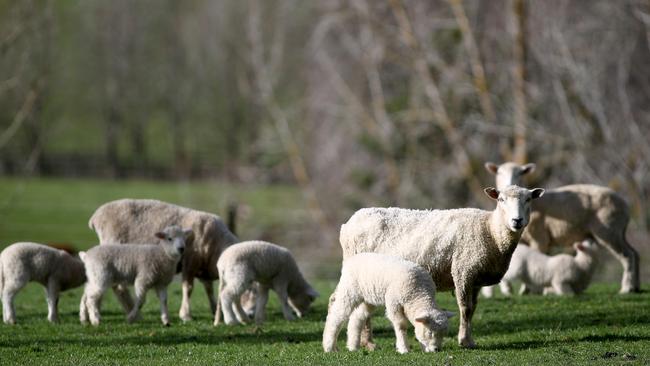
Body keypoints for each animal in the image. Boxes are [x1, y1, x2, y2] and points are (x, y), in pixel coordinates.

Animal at [87, 199, 237, 322]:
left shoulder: (203, 268)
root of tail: (95, 217)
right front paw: (186, 315)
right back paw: (130, 314)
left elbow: (209, 289)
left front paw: (216, 310)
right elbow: (188, 288)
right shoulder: (190, 263)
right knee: (117, 287)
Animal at [322, 253, 454, 354]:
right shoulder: (394, 302)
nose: (437, 350)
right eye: (430, 332)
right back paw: (329, 347)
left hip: (368, 298)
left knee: (357, 317)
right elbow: (401, 325)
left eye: (444, 333)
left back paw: (353, 346)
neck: (418, 293)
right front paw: (404, 349)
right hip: (349, 290)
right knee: (337, 315)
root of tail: (352, 259)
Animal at [342, 186, 544, 348]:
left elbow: (473, 309)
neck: (490, 231)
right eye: (501, 199)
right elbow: (465, 308)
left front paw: (469, 340)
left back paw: (366, 342)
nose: (517, 220)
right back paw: (369, 343)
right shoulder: (463, 271)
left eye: (529, 199)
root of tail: (350, 221)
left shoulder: (476, 278)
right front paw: (464, 341)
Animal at [484, 162, 640, 294]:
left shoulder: (540, 238)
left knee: (627, 255)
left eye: (522, 173)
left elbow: (537, 259)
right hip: (618, 231)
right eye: (499, 173)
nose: (510, 183)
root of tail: (625, 204)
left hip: (608, 231)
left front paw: (531, 291)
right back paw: (635, 287)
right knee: (635, 252)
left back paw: (626, 288)